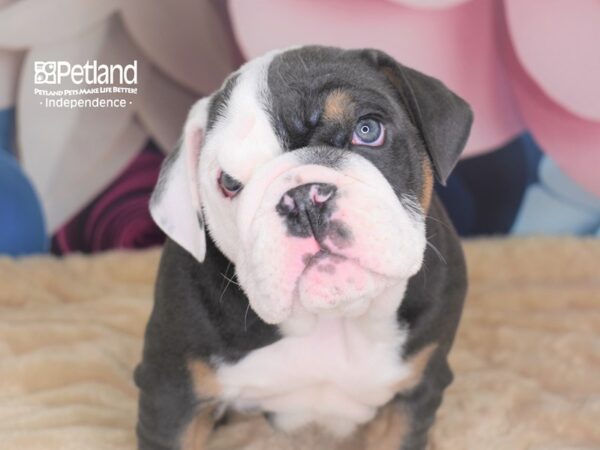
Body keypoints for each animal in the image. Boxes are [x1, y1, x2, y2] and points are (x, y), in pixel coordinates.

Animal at [136, 45, 474, 450]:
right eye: (229, 183)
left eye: (368, 130)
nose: (302, 198)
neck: (330, 319)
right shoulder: (172, 392)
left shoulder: (412, 398)